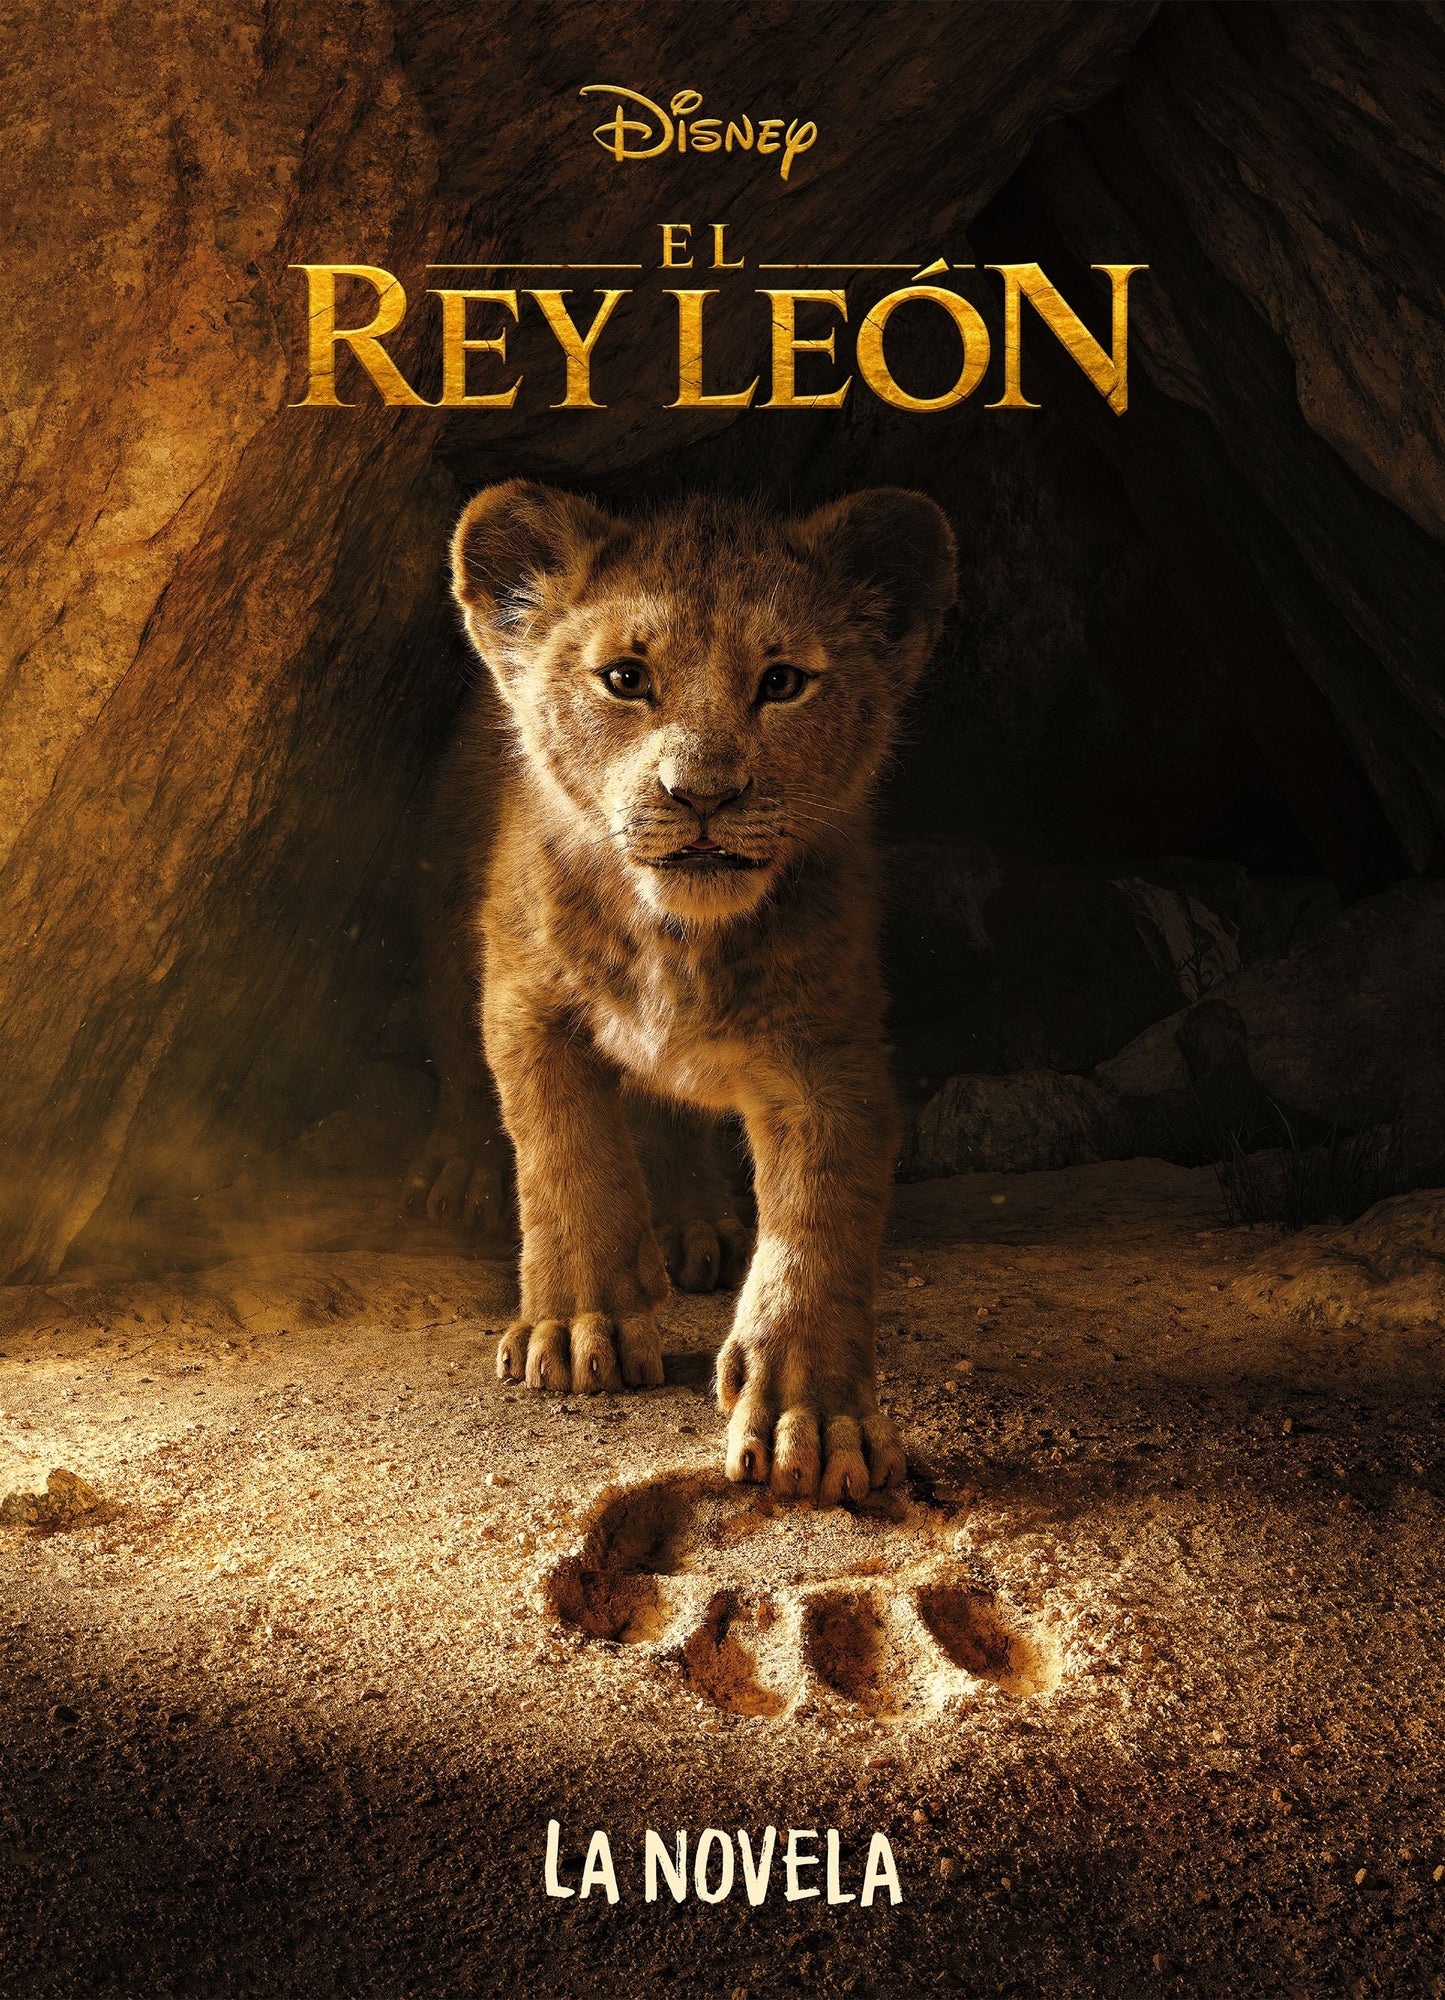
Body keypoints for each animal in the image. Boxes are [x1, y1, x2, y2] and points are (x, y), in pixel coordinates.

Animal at [406, 480, 957, 1504]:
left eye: (781, 682)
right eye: (625, 678)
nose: (702, 793)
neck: (678, 938)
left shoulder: (828, 1052)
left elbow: (819, 1222)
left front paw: (811, 1417)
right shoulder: (527, 999)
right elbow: (565, 1156)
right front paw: (576, 1327)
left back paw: (692, 1224)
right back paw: (461, 1175)